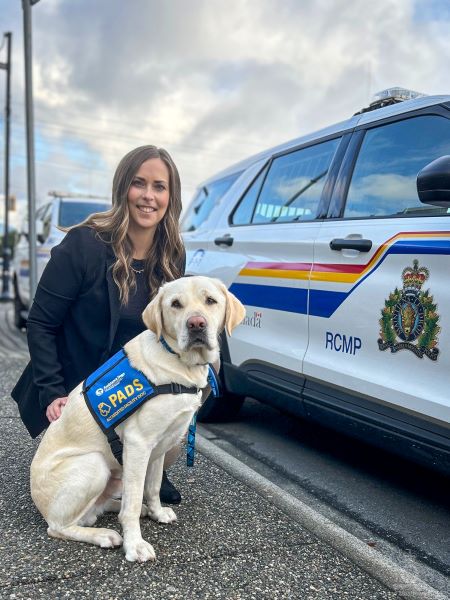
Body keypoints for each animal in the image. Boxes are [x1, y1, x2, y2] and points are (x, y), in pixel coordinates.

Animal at [29, 276, 244, 564]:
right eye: (176, 304)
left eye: (211, 300)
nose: (196, 324)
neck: (179, 363)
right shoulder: (139, 443)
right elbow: (130, 505)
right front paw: (135, 545)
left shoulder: (160, 445)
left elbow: (151, 487)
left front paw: (156, 512)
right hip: (94, 464)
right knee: (60, 526)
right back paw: (104, 534)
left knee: (97, 508)